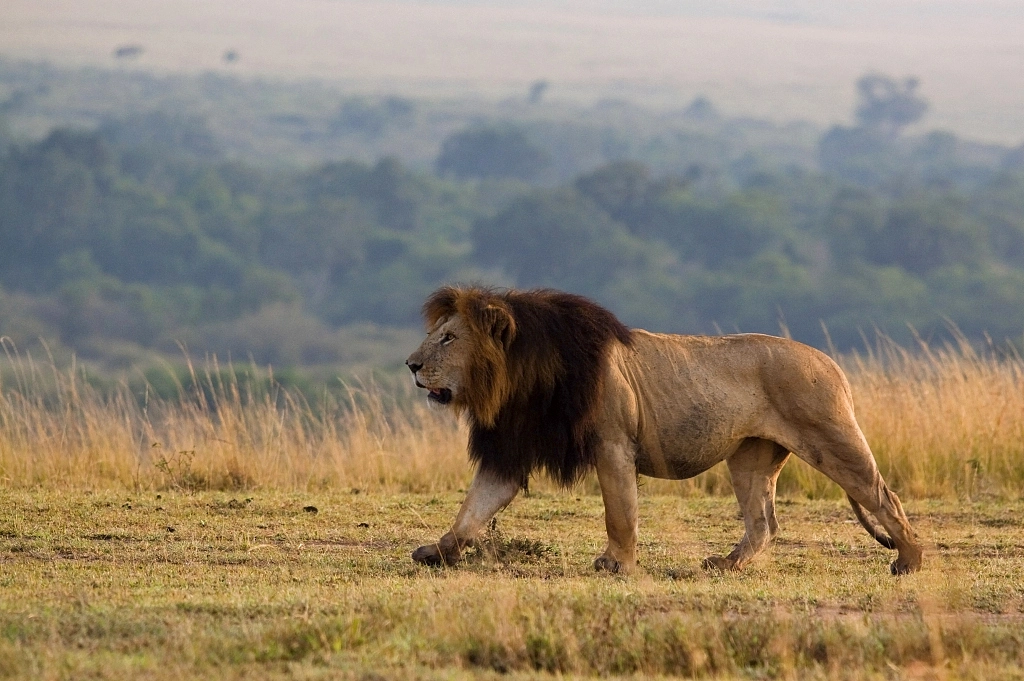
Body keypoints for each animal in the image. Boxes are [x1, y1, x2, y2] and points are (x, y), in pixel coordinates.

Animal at [403, 282, 925, 573]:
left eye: (449, 338)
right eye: (435, 334)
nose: (411, 365)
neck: (518, 379)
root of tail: (833, 364)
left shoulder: (612, 444)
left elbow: (620, 512)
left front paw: (616, 564)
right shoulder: (509, 452)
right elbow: (472, 510)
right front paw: (437, 552)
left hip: (832, 439)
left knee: (884, 496)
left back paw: (909, 560)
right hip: (751, 457)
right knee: (764, 523)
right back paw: (727, 565)